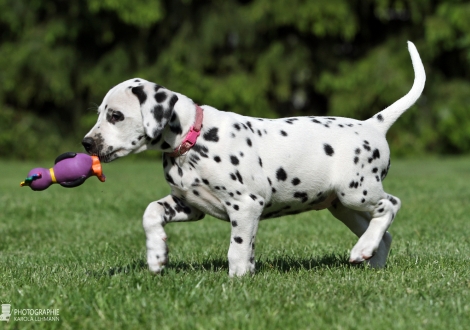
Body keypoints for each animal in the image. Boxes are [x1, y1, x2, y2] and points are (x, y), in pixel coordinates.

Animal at [81, 41, 426, 276]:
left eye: (115, 116)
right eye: (101, 113)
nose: (86, 143)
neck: (194, 138)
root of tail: (372, 124)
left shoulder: (245, 205)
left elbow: (237, 248)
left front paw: (237, 281)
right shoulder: (189, 205)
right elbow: (150, 212)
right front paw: (156, 255)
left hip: (357, 192)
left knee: (391, 205)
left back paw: (363, 248)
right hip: (344, 207)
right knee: (385, 231)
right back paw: (370, 258)